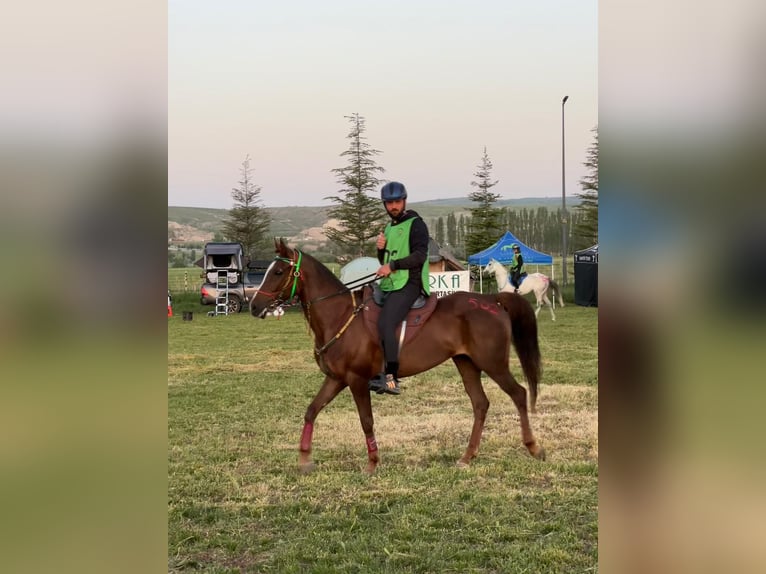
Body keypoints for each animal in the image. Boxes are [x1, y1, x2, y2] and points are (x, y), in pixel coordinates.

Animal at [249, 239, 546, 475]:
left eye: (278, 271)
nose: (253, 306)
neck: (340, 315)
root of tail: (492, 300)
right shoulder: (336, 379)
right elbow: (311, 411)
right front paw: (304, 460)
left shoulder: (357, 380)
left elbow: (366, 421)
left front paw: (372, 463)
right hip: (467, 363)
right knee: (480, 404)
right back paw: (467, 456)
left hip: (493, 364)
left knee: (519, 394)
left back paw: (533, 447)